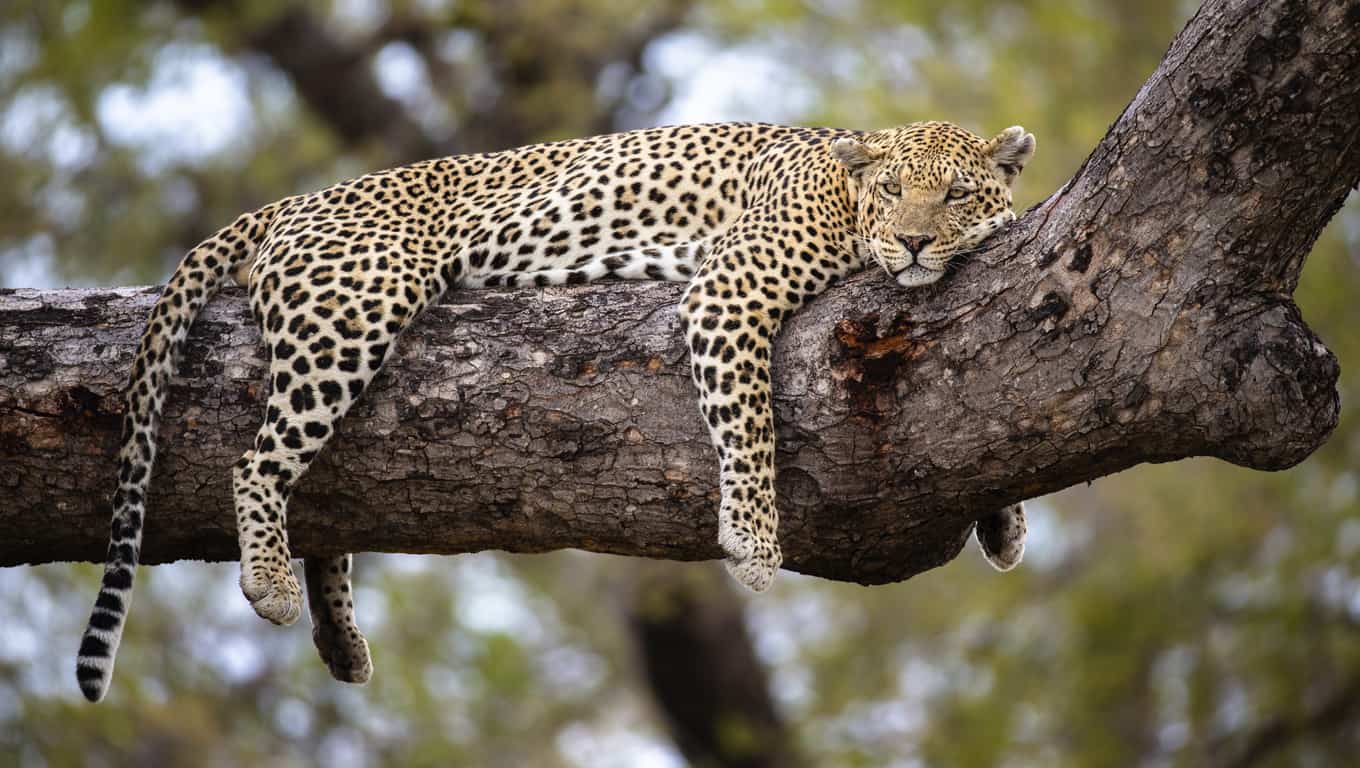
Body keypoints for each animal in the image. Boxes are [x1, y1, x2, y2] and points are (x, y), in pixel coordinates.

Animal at [77, 118, 1028, 701]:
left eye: (955, 195)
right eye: (896, 191)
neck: (845, 190)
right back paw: (269, 582)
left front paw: (1006, 522)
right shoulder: (729, 291)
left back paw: (339, 642)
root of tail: (293, 200)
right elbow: (749, 424)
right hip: (356, 306)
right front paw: (756, 545)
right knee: (258, 459)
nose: (914, 242)